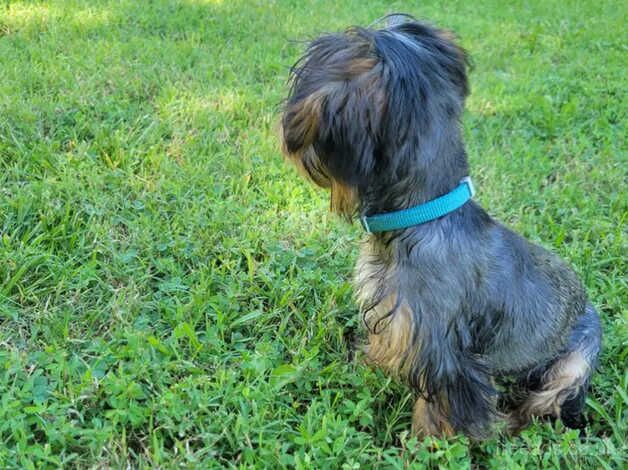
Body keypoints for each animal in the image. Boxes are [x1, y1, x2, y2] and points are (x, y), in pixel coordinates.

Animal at [278, 15, 600, 440]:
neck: (427, 218)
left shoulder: (447, 359)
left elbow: (438, 415)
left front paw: (421, 445)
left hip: (576, 361)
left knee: (550, 400)